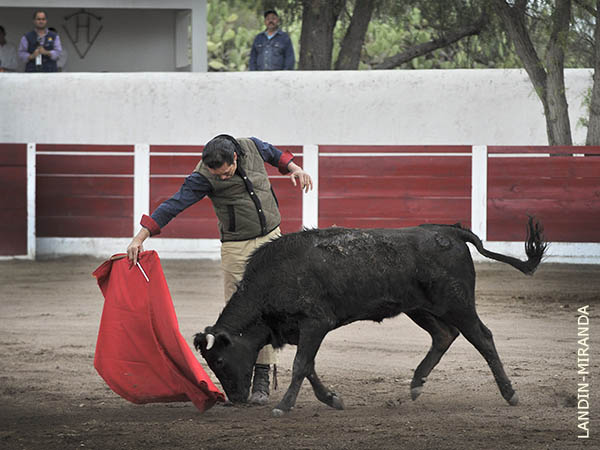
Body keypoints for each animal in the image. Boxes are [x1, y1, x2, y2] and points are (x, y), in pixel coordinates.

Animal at [195, 217, 548, 414]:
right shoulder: (303, 331)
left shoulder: (316, 323)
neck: (272, 279)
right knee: (444, 335)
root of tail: (450, 232)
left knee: (482, 337)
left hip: (458, 305)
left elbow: (300, 366)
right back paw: (416, 384)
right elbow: (309, 367)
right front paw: (332, 399)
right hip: (418, 308)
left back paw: (510, 394)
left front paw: (283, 407)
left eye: (220, 360)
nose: (236, 398)